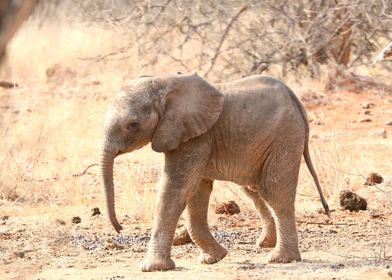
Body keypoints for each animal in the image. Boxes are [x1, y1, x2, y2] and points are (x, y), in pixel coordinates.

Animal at [100, 72, 328, 272]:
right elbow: (197, 191)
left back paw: (281, 259)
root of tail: (295, 100)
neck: (164, 82)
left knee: (273, 193)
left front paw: (153, 268)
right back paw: (266, 244)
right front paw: (214, 258)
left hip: (284, 137)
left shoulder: (194, 137)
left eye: (132, 125)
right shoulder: (193, 136)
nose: (120, 227)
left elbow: (175, 189)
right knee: (253, 190)